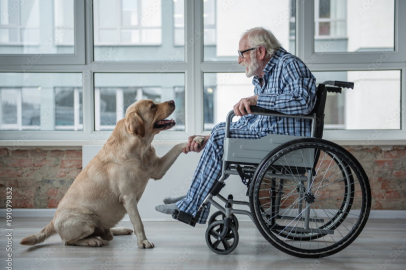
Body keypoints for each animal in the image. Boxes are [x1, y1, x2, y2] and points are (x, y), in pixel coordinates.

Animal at [21, 99, 186, 249]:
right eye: (152, 106)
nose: (172, 101)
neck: (140, 148)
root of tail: (53, 221)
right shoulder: (128, 197)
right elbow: (138, 222)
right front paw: (143, 242)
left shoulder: (158, 169)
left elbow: (177, 147)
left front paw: (192, 140)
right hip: (87, 222)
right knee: (69, 241)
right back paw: (92, 241)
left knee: (106, 232)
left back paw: (118, 230)